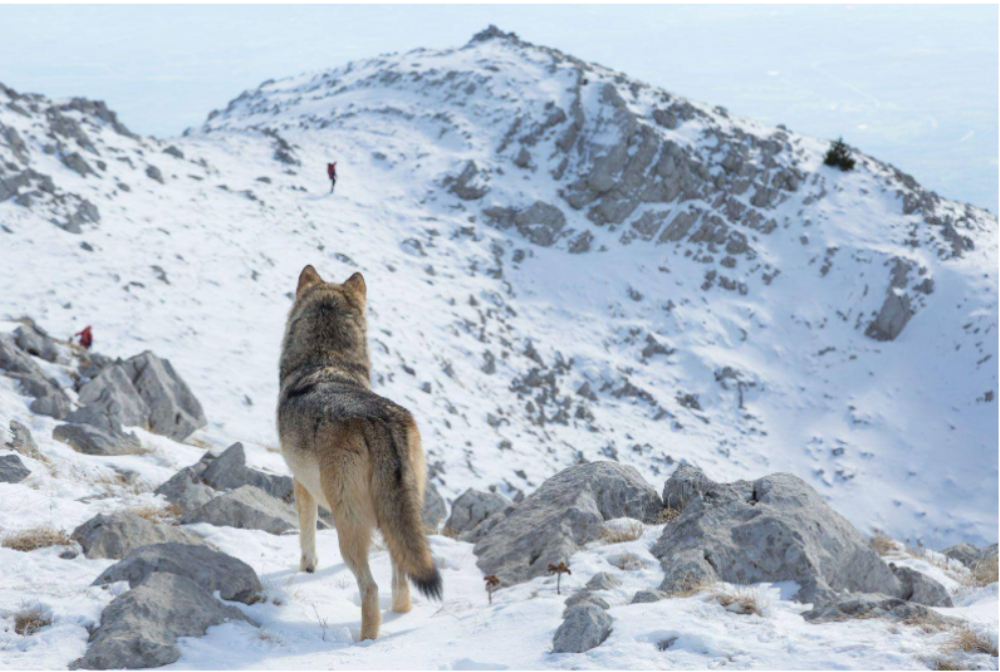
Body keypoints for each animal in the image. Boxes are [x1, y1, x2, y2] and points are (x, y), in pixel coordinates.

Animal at [277, 265, 442, 640]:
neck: (324, 359)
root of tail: (382, 421)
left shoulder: (301, 483)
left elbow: (306, 534)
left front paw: (307, 568)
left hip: (348, 521)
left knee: (370, 587)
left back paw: (364, 640)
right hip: (400, 514)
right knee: (401, 579)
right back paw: (398, 616)